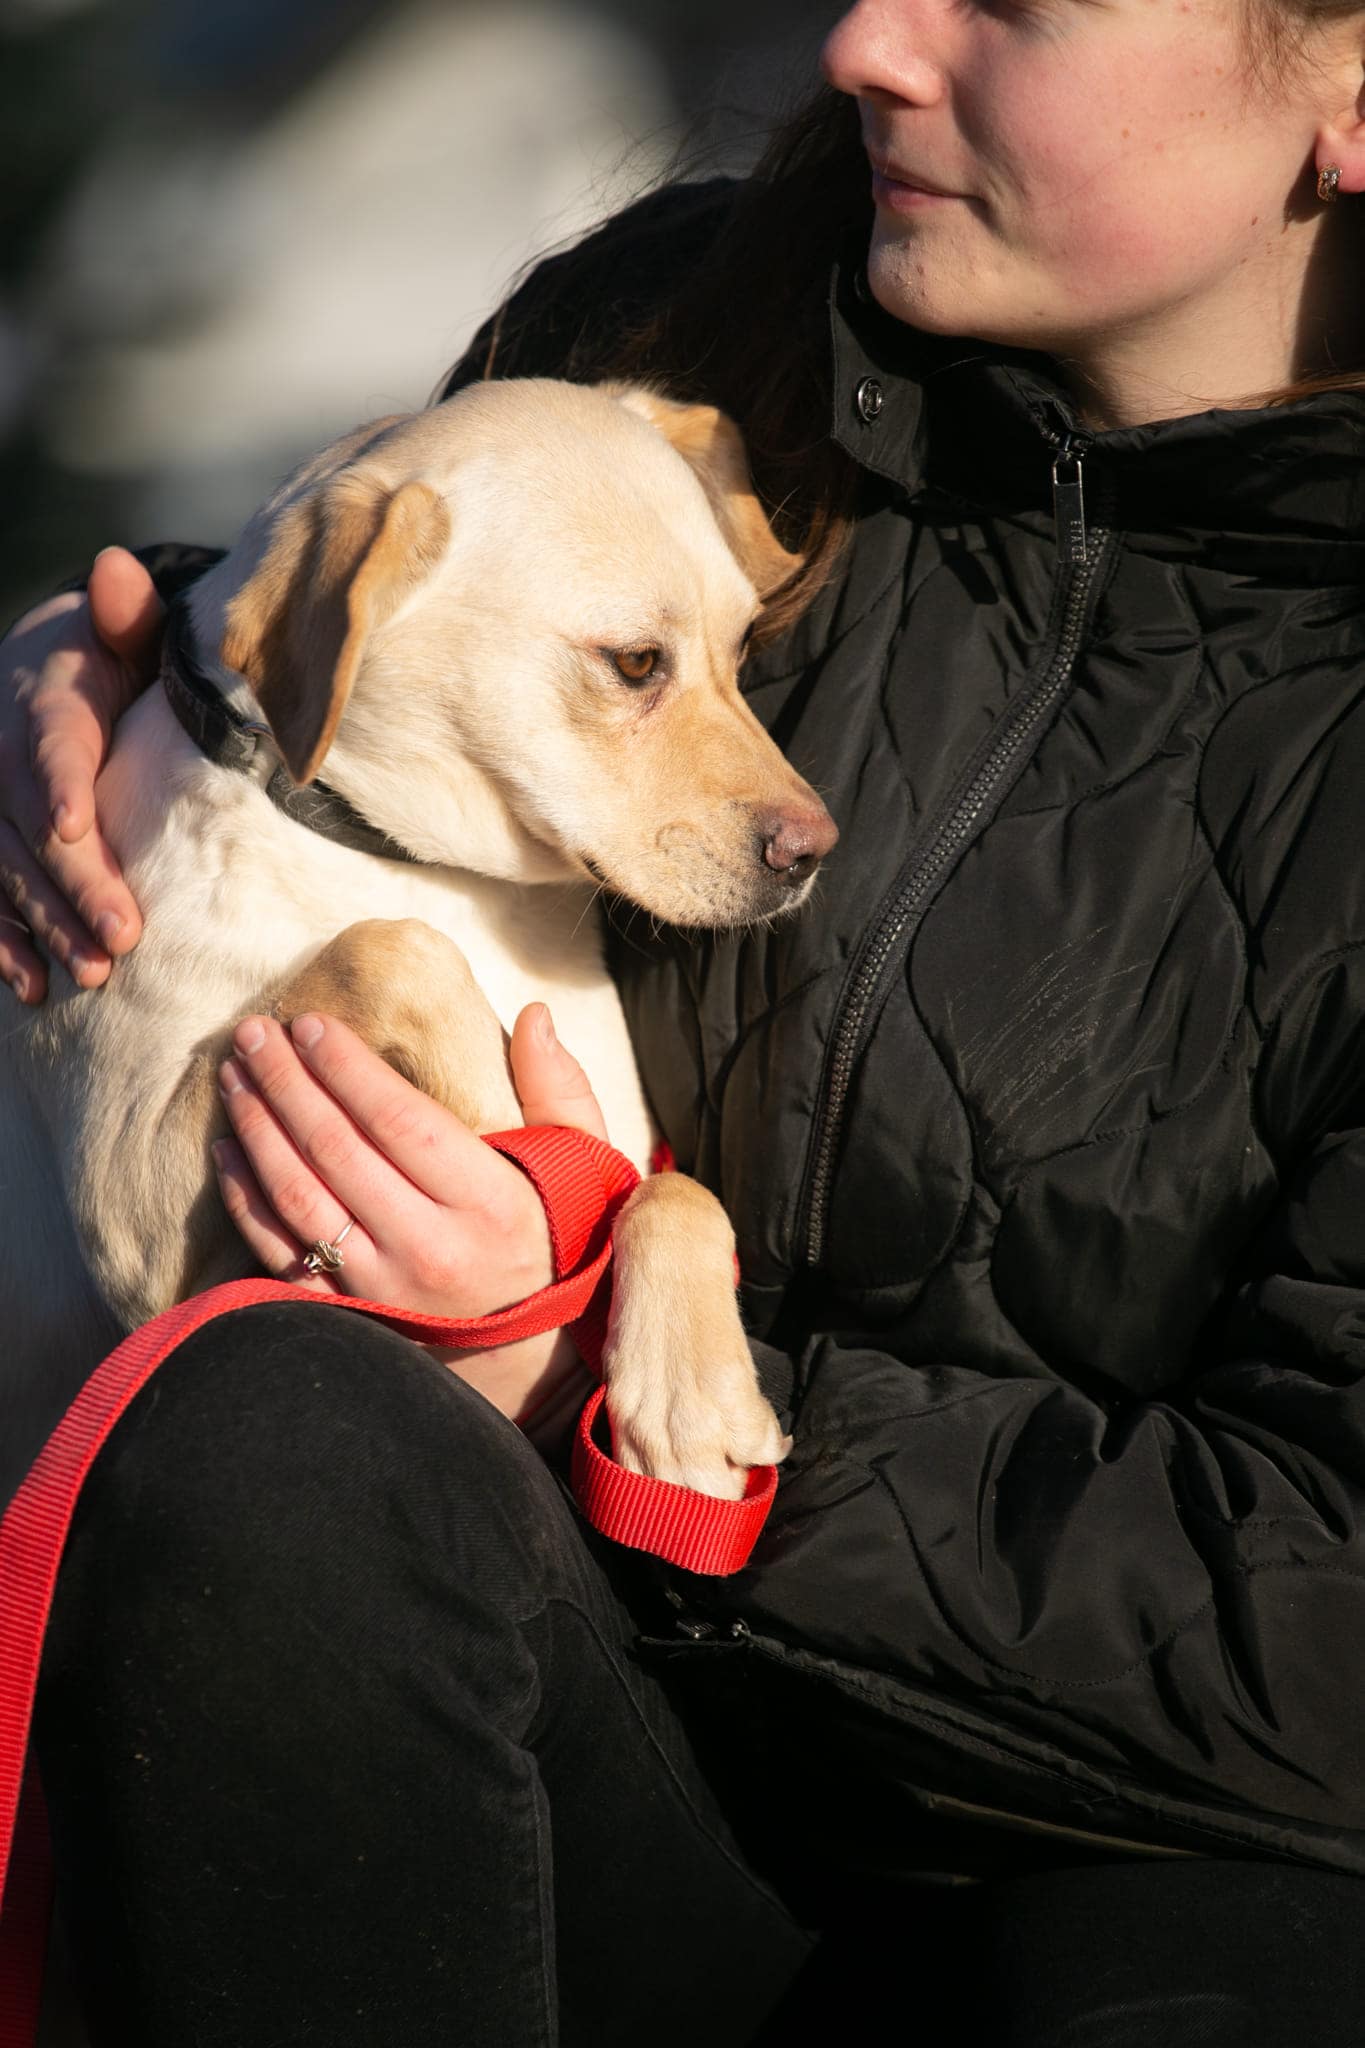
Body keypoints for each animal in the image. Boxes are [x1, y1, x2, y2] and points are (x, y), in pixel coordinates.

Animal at [0, 378, 837, 1509]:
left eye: (744, 647)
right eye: (633, 663)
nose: (816, 851)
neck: (436, 875)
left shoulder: (640, 1140)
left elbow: (664, 1183)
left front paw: (691, 1392)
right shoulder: (135, 1224)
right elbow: (396, 949)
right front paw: (498, 1128)